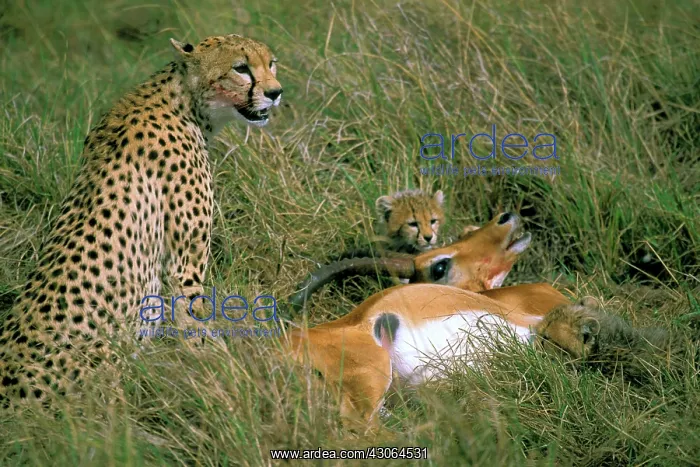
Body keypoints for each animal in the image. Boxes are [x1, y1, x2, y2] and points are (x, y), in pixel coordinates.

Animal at [0, 34, 282, 408]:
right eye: (241, 68)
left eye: (271, 63)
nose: (276, 92)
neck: (184, 102)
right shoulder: (182, 268)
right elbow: (196, 323)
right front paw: (221, 372)